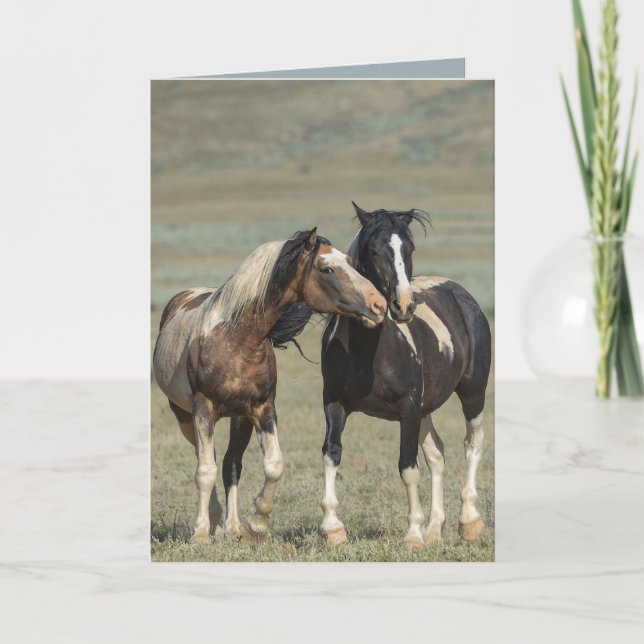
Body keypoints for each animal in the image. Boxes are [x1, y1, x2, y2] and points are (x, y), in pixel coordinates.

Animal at [153, 228, 387, 544]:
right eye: (326, 268)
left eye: (350, 261)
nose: (379, 305)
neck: (236, 338)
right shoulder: (203, 410)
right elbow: (204, 471)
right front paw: (200, 534)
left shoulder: (262, 409)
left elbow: (273, 465)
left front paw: (256, 525)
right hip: (184, 417)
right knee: (206, 461)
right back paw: (213, 523)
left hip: (239, 418)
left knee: (230, 465)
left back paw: (231, 527)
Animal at [319, 203, 492, 549]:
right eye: (373, 250)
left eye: (409, 248)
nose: (403, 305)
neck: (367, 351)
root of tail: (463, 295)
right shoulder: (334, 402)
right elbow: (332, 454)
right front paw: (332, 528)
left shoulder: (408, 405)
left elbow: (408, 467)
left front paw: (413, 535)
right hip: (426, 409)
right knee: (437, 455)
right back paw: (435, 529)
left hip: (472, 393)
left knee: (472, 444)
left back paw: (468, 520)